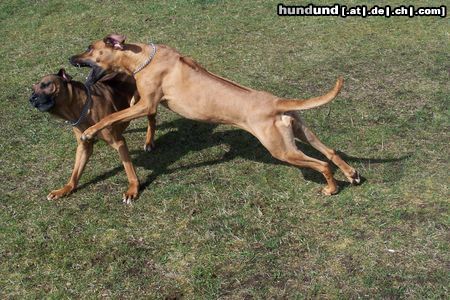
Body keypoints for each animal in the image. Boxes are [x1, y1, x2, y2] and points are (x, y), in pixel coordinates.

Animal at [29, 69, 153, 203]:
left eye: (46, 85)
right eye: (33, 89)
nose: (31, 99)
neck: (82, 107)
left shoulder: (119, 142)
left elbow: (129, 168)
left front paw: (133, 189)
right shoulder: (84, 146)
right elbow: (75, 172)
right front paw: (65, 189)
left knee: (152, 117)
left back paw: (149, 141)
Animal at [69, 35, 358, 195]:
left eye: (89, 48)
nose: (71, 58)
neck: (142, 57)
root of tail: (276, 101)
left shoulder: (147, 104)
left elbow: (110, 118)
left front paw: (89, 131)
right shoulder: (142, 101)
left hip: (281, 150)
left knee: (322, 164)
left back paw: (331, 187)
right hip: (299, 131)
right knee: (330, 151)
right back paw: (350, 173)